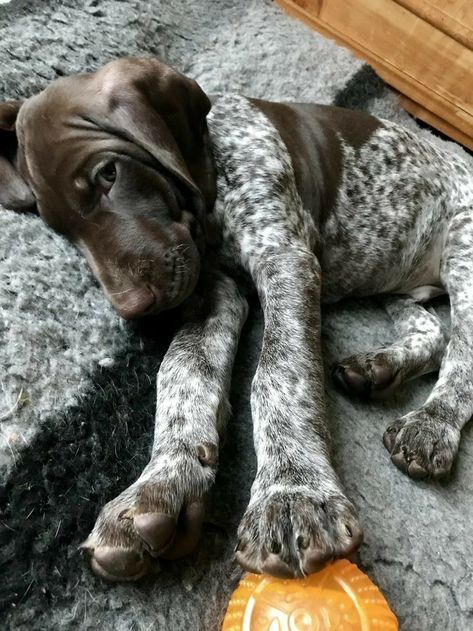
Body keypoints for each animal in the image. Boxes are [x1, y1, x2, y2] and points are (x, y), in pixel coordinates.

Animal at [1, 59, 470, 584]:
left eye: (108, 174)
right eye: (59, 228)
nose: (134, 310)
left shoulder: (284, 259)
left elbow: (279, 372)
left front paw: (292, 493)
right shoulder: (214, 288)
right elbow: (183, 372)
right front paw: (158, 486)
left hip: (463, 245)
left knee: (462, 352)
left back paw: (430, 425)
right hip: (393, 283)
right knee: (433, 333)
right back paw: (377, 368)